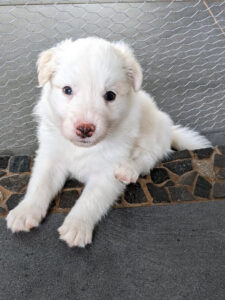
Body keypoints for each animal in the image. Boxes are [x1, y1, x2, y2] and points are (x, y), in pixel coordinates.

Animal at [6, 37, 211, 247]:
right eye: (67, 90)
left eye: (110, 95)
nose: (85, 129)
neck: (81, 149)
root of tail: (169, 131)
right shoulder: (50, 157)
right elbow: (40, 185)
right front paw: (25, 211)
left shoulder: (106, 174)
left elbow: (90, 200)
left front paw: (76, 227)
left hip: (156, 131)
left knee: (148, 156)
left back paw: (129, 169)